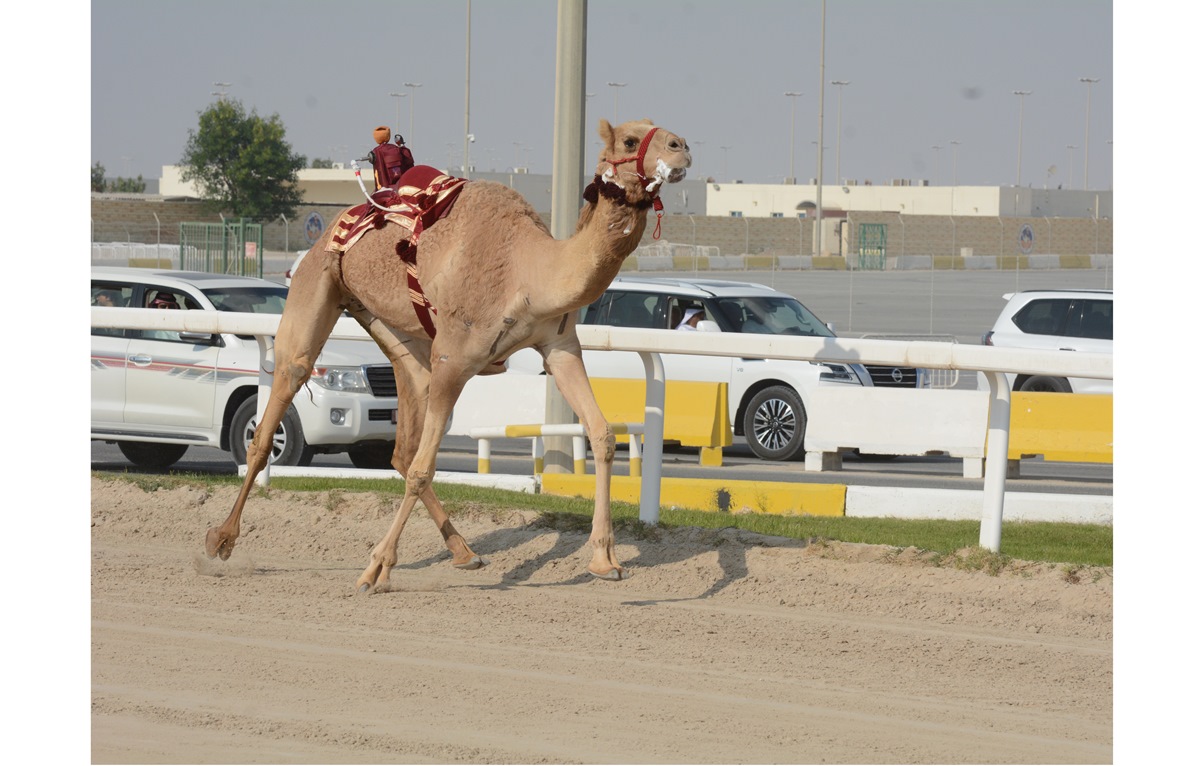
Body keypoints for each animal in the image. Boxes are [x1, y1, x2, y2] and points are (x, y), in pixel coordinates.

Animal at [206, 118, 691, 595]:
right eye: (630, 139)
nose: (681, 147)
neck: (528, 272)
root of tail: (336, 223)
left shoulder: (559, 346)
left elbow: (602, 433)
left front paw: (606, 560)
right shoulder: (454, 359)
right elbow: (425, 468)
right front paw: (374, 569)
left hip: (390, 324)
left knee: (403, 434)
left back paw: (464, 551)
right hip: (320, 280)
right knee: (282, 396)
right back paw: (220, 539)